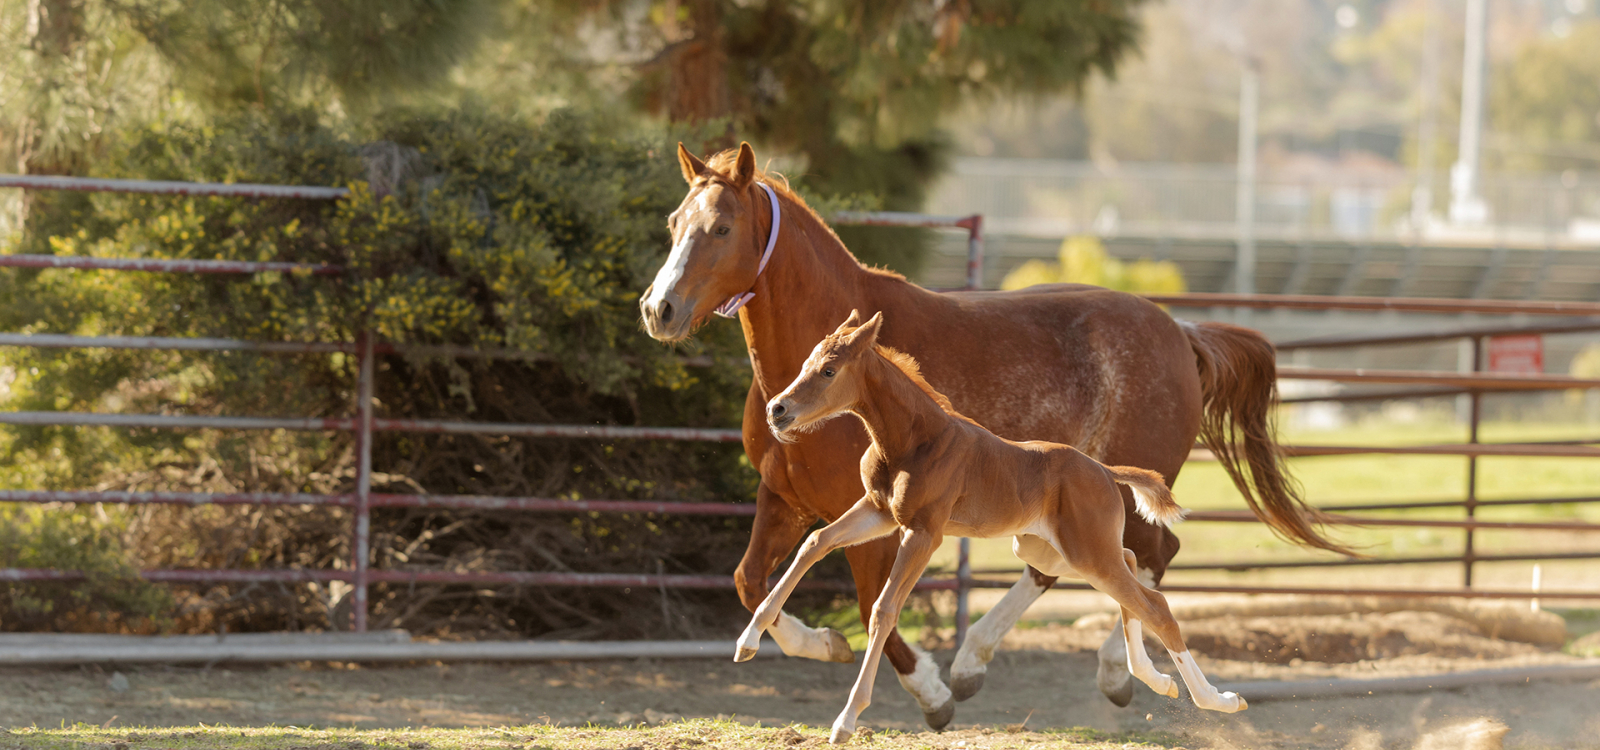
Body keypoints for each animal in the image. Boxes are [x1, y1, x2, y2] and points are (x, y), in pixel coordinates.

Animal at [739, 310, 1248, 743]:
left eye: (828, 371)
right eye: (805, 363)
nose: (777, 410)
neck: (915, 439)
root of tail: (1104, 471)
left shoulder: (924, 532)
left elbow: (884, 608)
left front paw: (845, 721)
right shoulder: (878, 511)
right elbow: (815, 542)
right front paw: (748, 642)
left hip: (1084, 552)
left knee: (1154, 602)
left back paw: (1217, 699)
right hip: (1052, 551)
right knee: (1129, 571)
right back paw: (1158, 681)